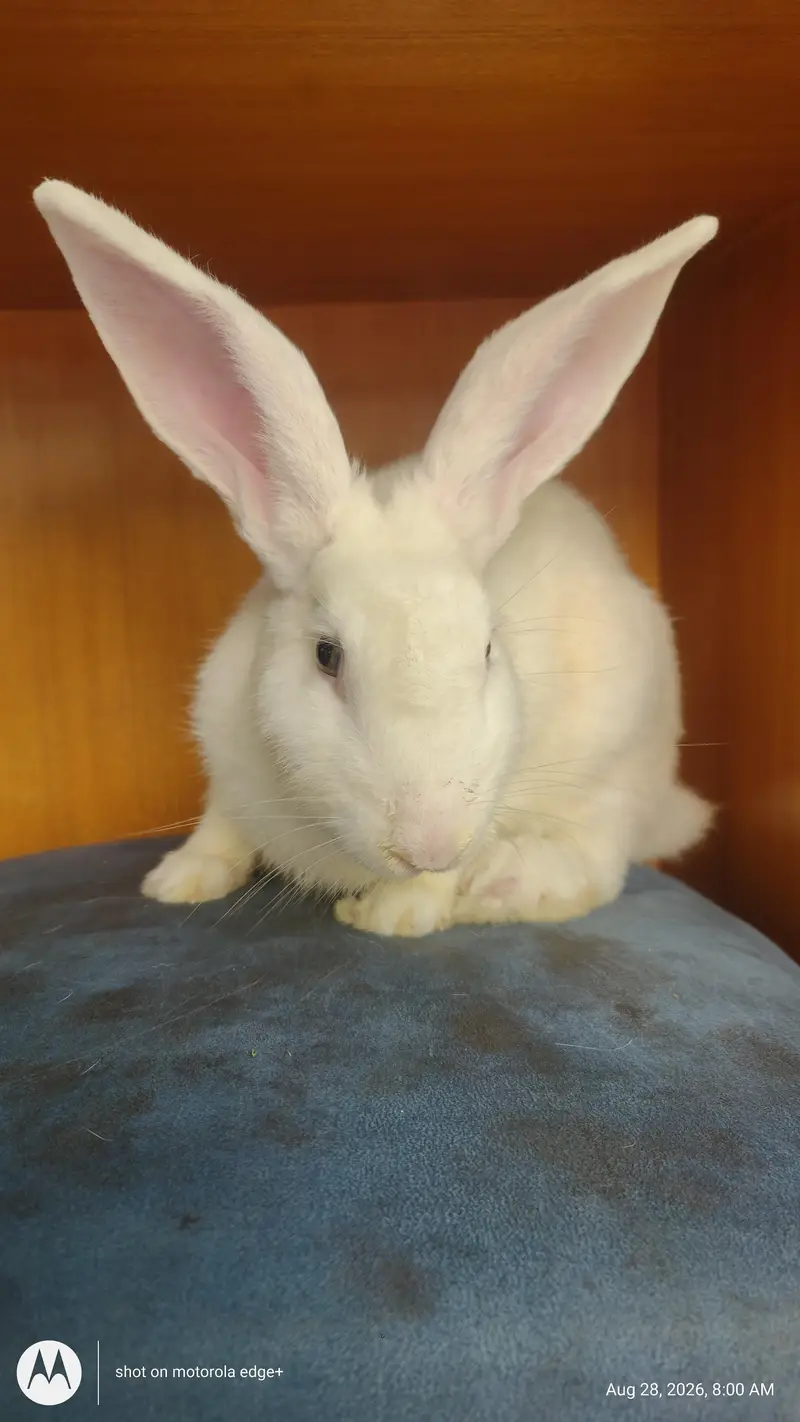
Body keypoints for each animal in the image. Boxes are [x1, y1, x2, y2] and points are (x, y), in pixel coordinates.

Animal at [34, 179, 717, 937]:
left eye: (487, 650)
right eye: (326, 655)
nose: (430, 845)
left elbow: (442, 886)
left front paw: (392, 916)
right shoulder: (226, 763)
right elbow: (221, 825)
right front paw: (180, 881)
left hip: (622, 763)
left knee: (597, 858)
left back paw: (509, 882)